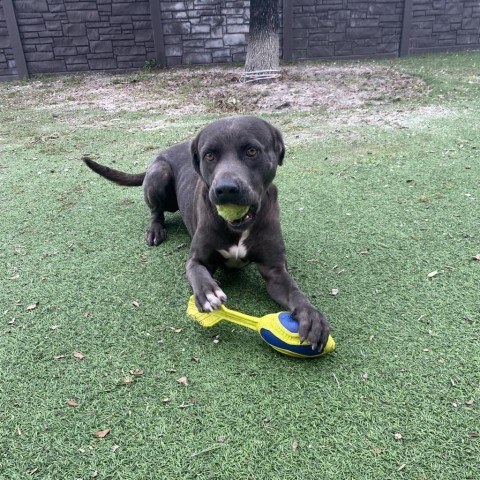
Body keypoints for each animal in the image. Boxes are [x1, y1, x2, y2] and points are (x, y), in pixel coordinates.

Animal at [83, 115, 330, 350]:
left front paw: (311, 315)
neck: (238, 226)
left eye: (252, 151)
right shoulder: (196, 260)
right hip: (159, 174)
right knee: (156, 210)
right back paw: (155, 229)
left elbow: (295, 292)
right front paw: (208, 293)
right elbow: (199, 274)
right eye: (209, 156)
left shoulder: (275, 271)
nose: (225, 189)